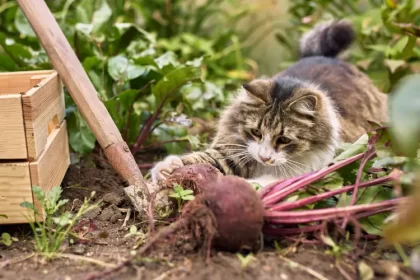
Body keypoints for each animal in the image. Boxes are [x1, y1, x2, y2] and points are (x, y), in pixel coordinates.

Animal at [149, 18, 388, 187]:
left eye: (283, 140)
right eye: (256, 132)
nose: (265, 157)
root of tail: (328, 57)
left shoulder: (308, 169)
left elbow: (264, 183)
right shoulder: (233, 152)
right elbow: (201, 159)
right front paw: (167, 167)